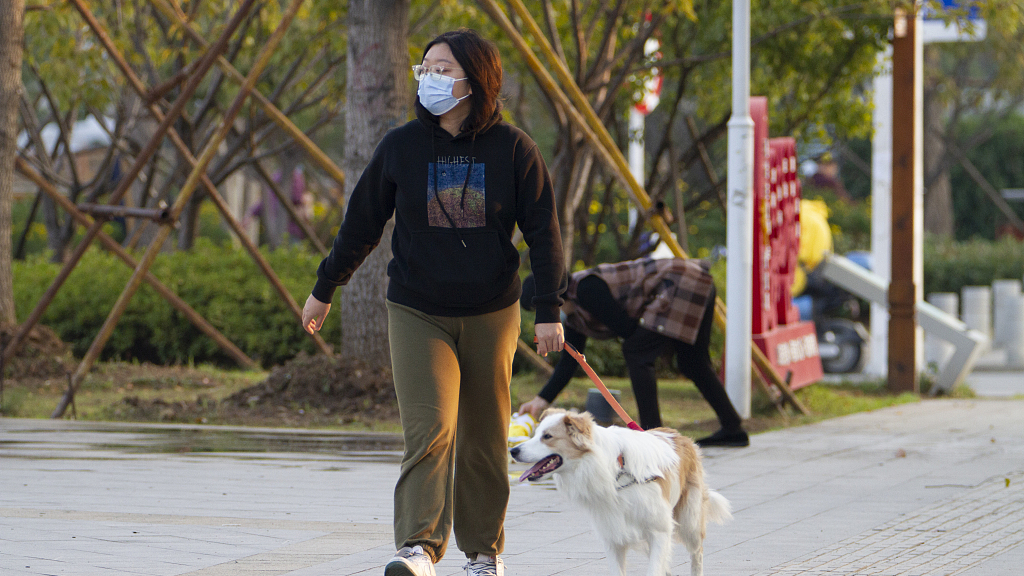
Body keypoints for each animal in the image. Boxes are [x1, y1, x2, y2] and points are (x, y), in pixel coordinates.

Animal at [509, 407, 733, 573]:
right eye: (535, 434)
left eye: (547, 436)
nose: (512, 450)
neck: (611, 470)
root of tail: (679, 435)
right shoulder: (613, 535)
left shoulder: (659, 530)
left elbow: (655, 568)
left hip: (690, 521)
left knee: (697, 554)